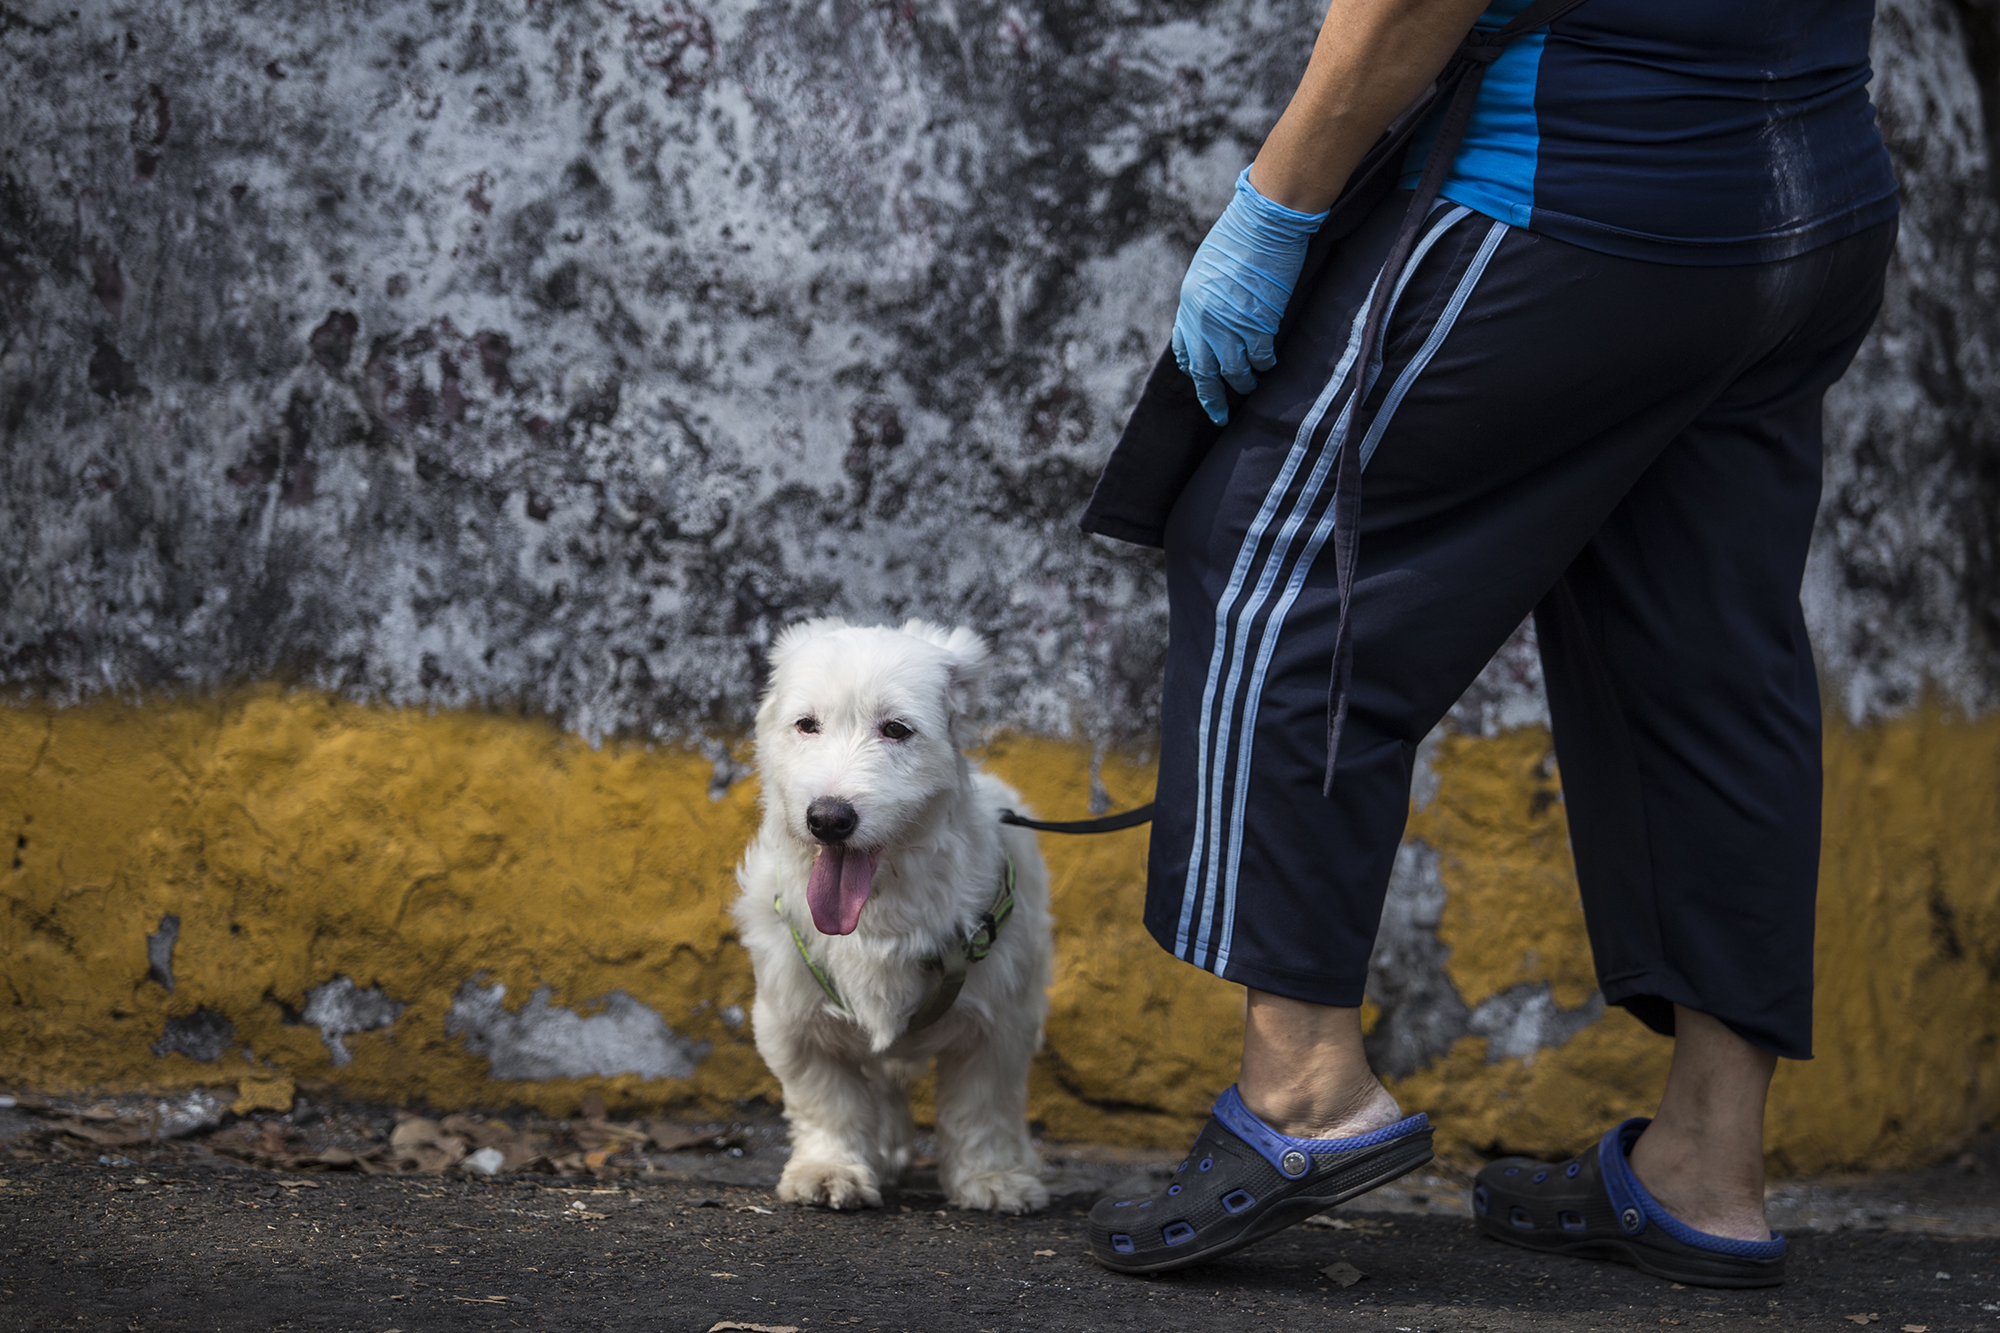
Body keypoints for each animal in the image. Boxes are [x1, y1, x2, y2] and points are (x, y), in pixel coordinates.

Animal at [728, 616, 1056, 1208]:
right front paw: (831, 1166)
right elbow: (827, 1099)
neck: (880, 900)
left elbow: (984, 1106)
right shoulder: (792, 1018)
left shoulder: (1000, 1023)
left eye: (897, 729)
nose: (828, 819)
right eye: (806, 725)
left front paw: (992, 1176)